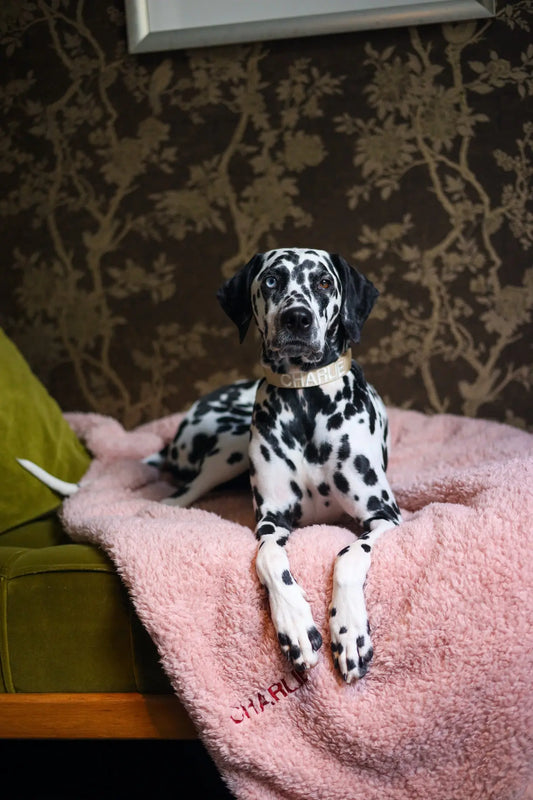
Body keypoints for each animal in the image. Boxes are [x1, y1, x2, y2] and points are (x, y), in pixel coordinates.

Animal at [149, 248, 400, 680]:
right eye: (271, 280)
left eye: (324, 282)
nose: (297, 318)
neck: (306, 400)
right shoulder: (272, 520)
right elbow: (268, 558)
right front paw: (295, 624)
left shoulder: (384, 514)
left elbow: (350, 555)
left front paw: (349, 631)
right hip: (226, 451)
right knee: (181, 493)